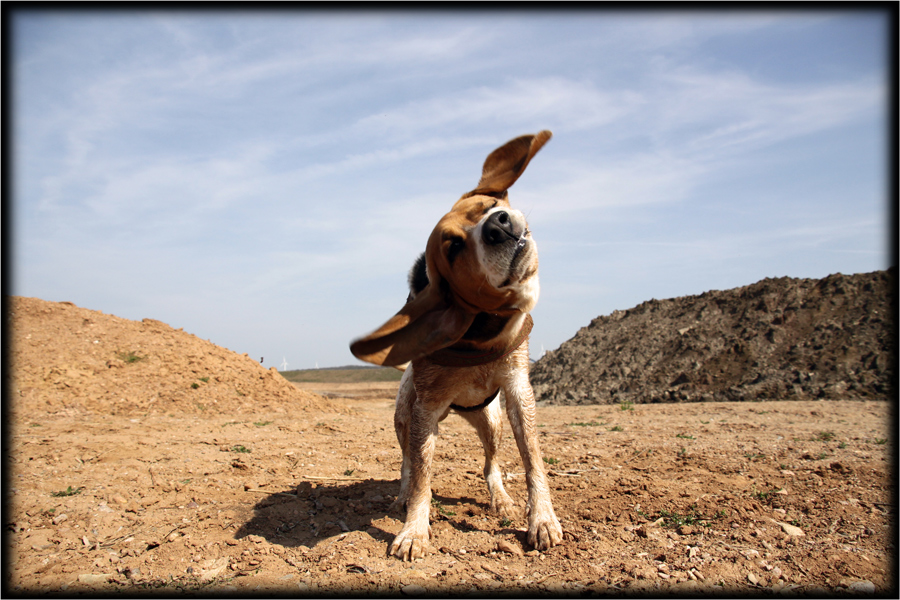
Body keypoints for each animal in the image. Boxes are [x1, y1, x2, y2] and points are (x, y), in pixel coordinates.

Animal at [348, 129, 560, 560]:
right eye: (453, 247)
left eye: (490, 205)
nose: (498, 224)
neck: (478, 335)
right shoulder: (425, 409)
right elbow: (421, 479)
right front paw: (414, 529)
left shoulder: (518, 389)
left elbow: (533, 461)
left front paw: (542, 519)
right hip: (405, 417)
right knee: (407, 464)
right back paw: (401, 498)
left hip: (491, 420)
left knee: (490, 465)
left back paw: (500, 498)